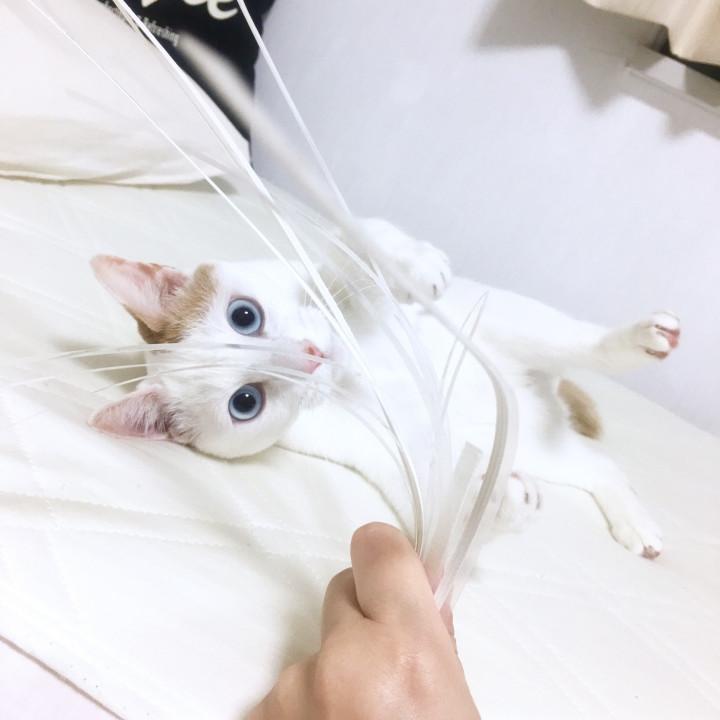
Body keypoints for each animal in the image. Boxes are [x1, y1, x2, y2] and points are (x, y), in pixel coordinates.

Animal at [89, 218, 679, 558]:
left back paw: (641, 340)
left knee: (585, 345)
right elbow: (441, 495)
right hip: (540, 445)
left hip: (513, 322)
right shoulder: (388, 453)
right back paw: (637, 525)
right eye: (246, 402)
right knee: (599, 466)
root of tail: (538, 391)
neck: (352, 368)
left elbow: (353, 238)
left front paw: (412, 262)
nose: (313, 356)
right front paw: (491, 497)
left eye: (244, 316)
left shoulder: (332, 280)